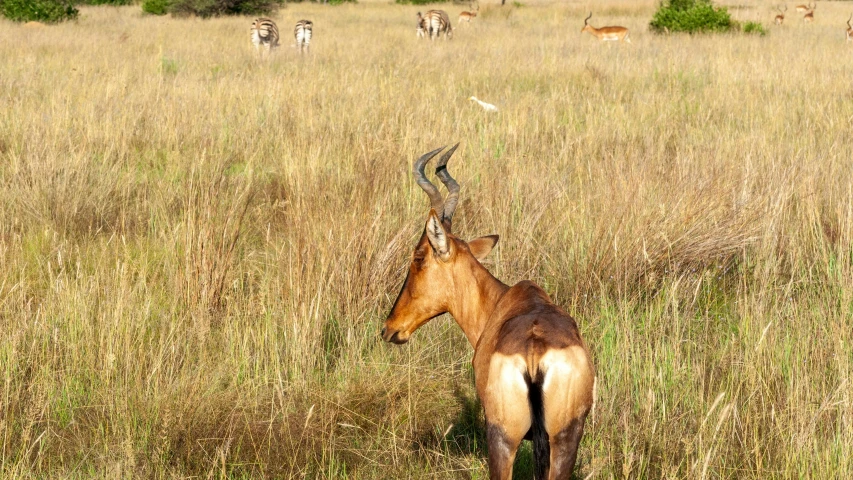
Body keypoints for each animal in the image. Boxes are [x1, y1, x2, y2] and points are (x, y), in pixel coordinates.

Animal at [382, 145, 596, 480]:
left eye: (418, 256)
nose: (390, 327)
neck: (505, 300)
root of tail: (534, 352)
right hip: (564, 439)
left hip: (502, 438)